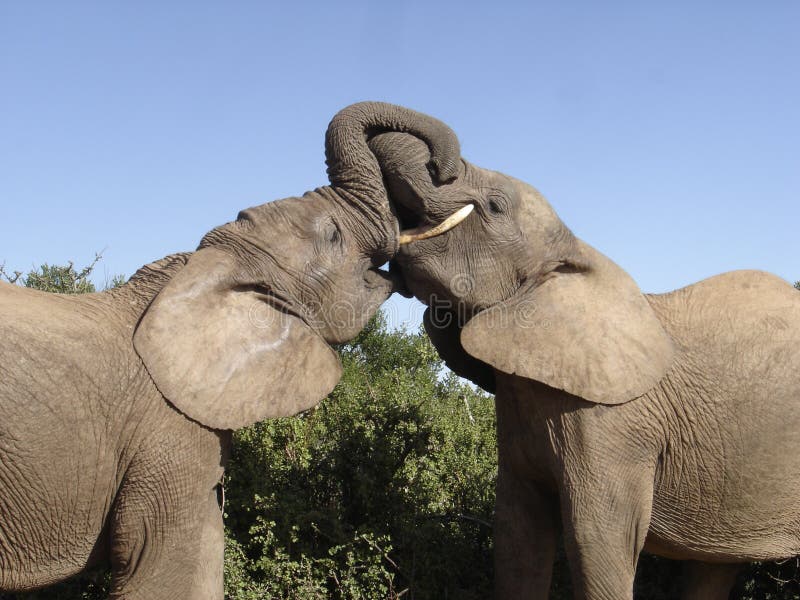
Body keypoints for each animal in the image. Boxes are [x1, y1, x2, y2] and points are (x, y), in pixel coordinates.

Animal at [354, 130, 800, 600]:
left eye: (495, 206)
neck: (574, 251)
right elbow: (516, 538)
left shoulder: (611, 425)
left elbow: (595, 543)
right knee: (711, 569)